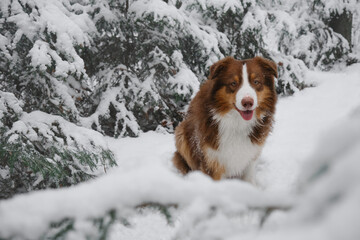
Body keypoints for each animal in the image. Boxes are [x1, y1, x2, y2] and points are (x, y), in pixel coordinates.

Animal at [173, 56, 278, 184]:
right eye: (233, 83)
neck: (237, 123)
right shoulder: (212, 161)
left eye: (256, 82)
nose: (248, 102)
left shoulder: (250, 157)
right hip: (180, 134)